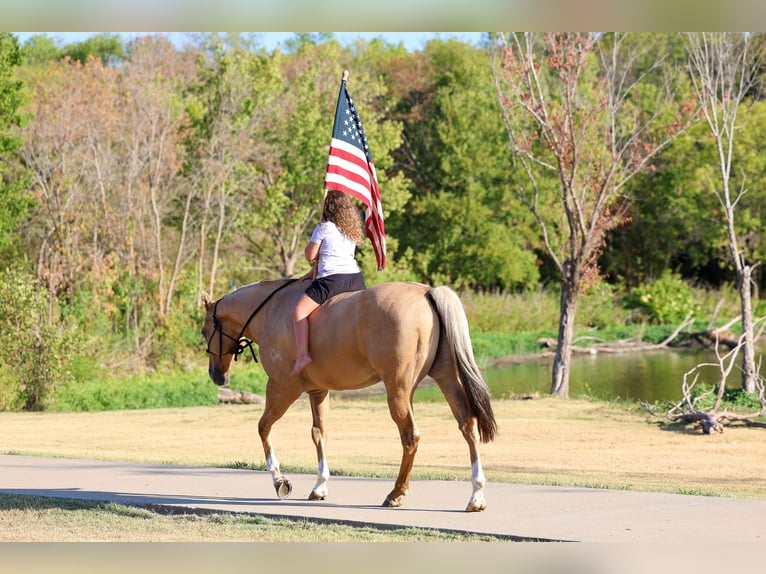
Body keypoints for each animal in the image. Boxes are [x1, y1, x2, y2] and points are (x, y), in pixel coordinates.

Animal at [201, 278, 497, 512]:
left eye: (205, 332)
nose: (217, 376)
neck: (272, 310)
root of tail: (427, 292)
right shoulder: (318, 391)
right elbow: (318, 433)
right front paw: (319, 486)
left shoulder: (282, 388)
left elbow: (263, 428)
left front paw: (279, 480)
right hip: (446, 378)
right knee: (467, 426)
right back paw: (476, 494)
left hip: (398, 390)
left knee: (410, 436)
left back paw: (396, 493)